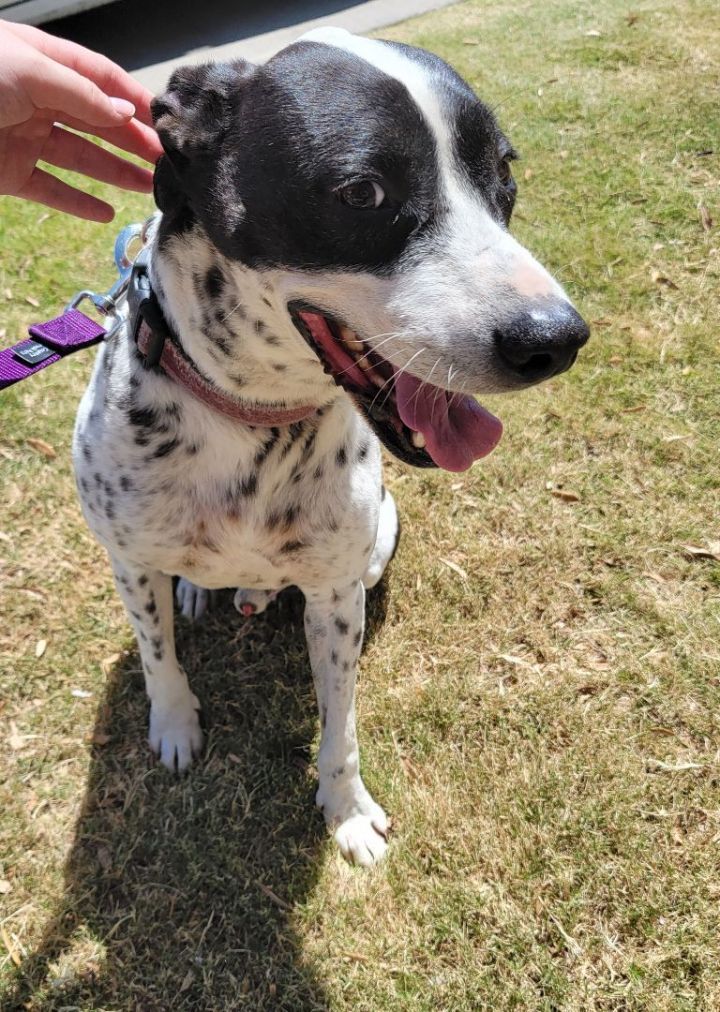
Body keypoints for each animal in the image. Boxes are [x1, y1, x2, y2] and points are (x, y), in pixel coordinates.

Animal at [74, 29, 591, 870]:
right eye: (362, 193)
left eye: (504, 171)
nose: (558, 339)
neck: (254, 414)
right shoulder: (127, 561)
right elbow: (157, 658)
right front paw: (175, 724)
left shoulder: (336, 601)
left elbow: (339, 723)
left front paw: (346, 811)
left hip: (380, 540)